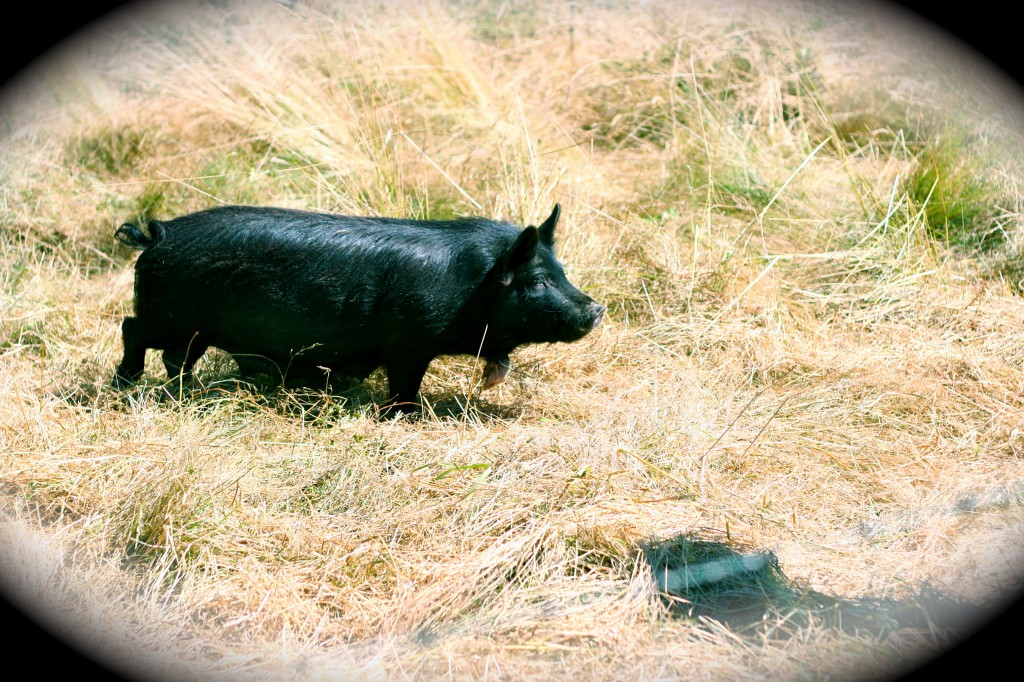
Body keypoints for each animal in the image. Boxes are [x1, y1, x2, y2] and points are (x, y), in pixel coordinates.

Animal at [111, 204, 605, 412]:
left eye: (562, 271)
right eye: (537, 281)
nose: (597, 308)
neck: (470, 285)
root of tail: (159, 234)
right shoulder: (408, 344)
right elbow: (405, 384)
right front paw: (406, 415)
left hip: (192, 330)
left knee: (175, 359)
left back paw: (184, 389)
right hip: (171, 317)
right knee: (130, 327)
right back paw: (125, 383)